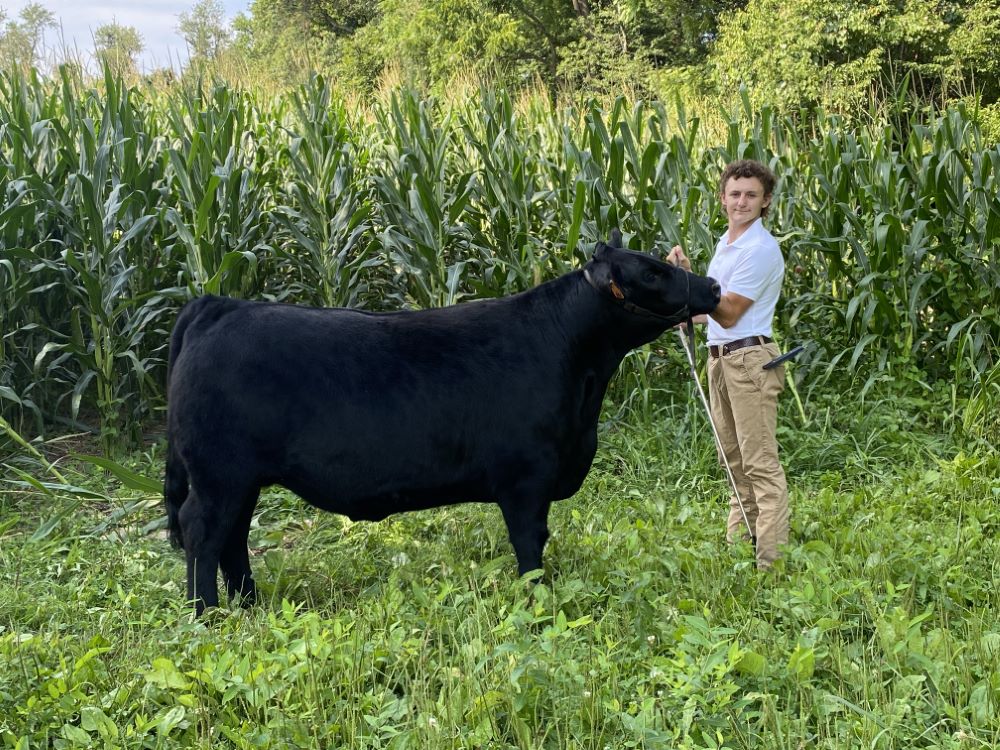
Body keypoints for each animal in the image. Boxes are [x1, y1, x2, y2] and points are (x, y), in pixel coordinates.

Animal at [164, 231, 721, 614]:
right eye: (651, 273)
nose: (713, 285)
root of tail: (218, 304)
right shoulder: (526, 475)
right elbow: (529, 541)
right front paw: (536, 597)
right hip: (219, 474)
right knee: (203, 532)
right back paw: (207, 614)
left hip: (241, 479)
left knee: (233, 538)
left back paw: (248, 605)